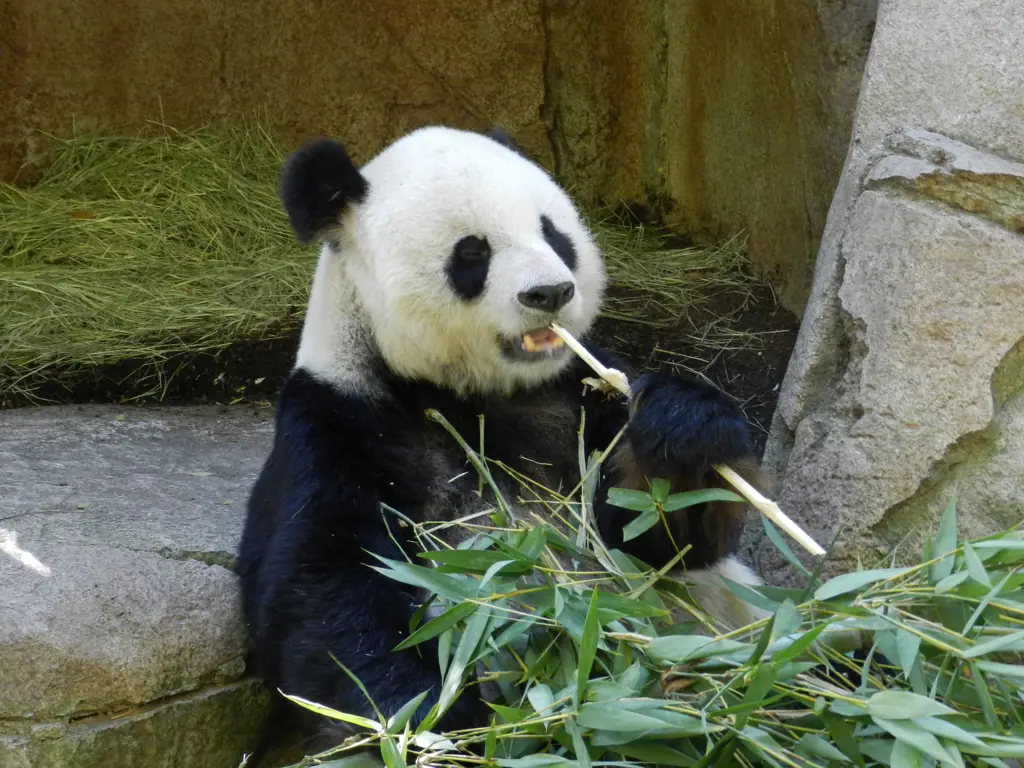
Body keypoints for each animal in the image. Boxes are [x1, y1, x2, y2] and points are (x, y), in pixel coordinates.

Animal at [237, 124, 770, 765]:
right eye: (472, 253)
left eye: (554, 233)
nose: (551, 292)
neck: (476, 392)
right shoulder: (340, 422)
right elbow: (324, 590)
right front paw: (449, 726)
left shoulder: (578, 396)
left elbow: (655, 543)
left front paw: (686, 428)